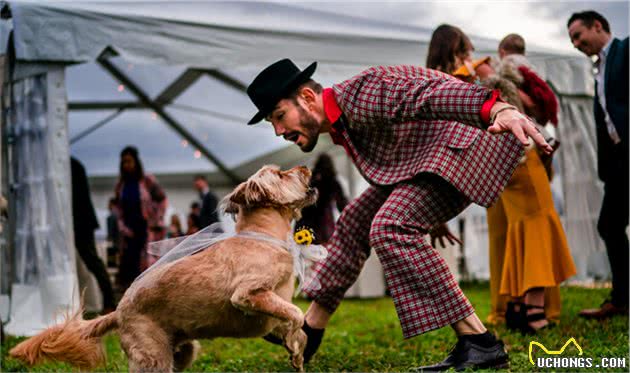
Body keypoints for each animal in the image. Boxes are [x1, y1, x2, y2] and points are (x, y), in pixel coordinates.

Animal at [13, 164, 320, 370]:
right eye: (280, 174)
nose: (306, 166)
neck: (262, 237)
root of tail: (118, 312)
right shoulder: (248, 294)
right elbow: (295, 313)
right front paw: (295, 346)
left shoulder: (273, 307)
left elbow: (296, 326)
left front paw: (297, 351)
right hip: (152, 356)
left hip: (183, 352)